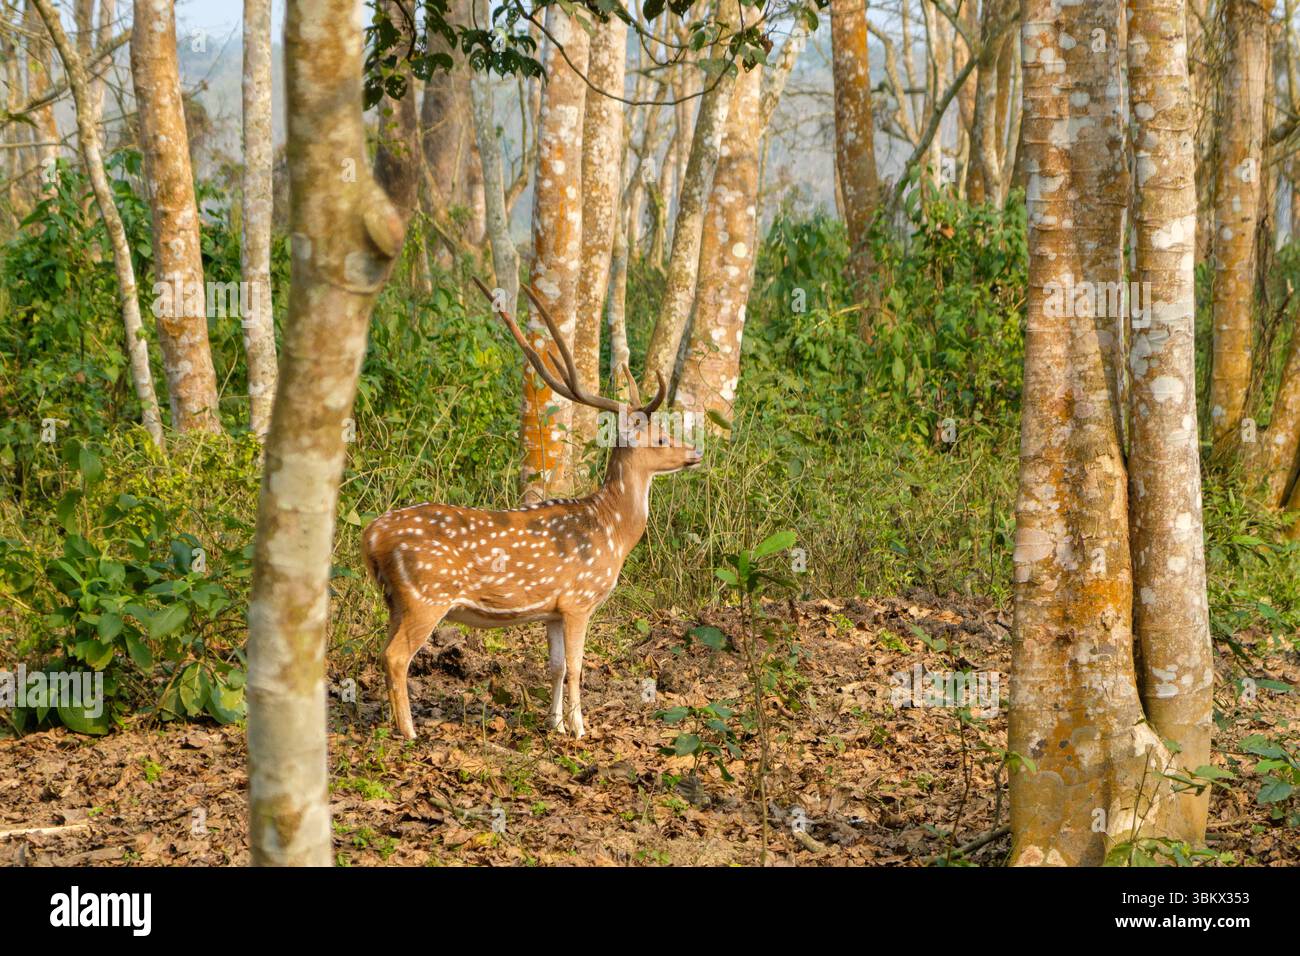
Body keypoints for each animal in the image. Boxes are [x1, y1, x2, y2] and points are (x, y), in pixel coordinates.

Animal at [362, 278, 703, 739]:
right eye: (662, 438)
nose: (695, 453)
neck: (612, 531)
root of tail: (371, 536)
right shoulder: (578, 600)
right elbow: (577, 667)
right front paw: (580, 730)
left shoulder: (552, 610)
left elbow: (555, 667)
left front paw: (554, 724)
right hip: (425, 595)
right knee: (395, 656)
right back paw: (410, 732)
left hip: (394, 600)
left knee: (382, 651)